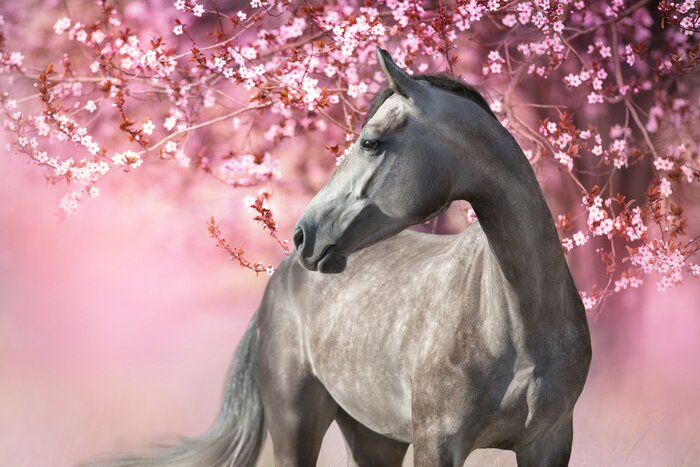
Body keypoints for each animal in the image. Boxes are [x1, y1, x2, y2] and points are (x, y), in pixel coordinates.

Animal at [88, 48, 591, 467]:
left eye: (370, 142)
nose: (303, 235)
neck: (516, 319)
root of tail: (281, 278)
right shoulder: (438, 444)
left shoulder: (549, 444)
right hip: (295, 426)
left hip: (374, 437)